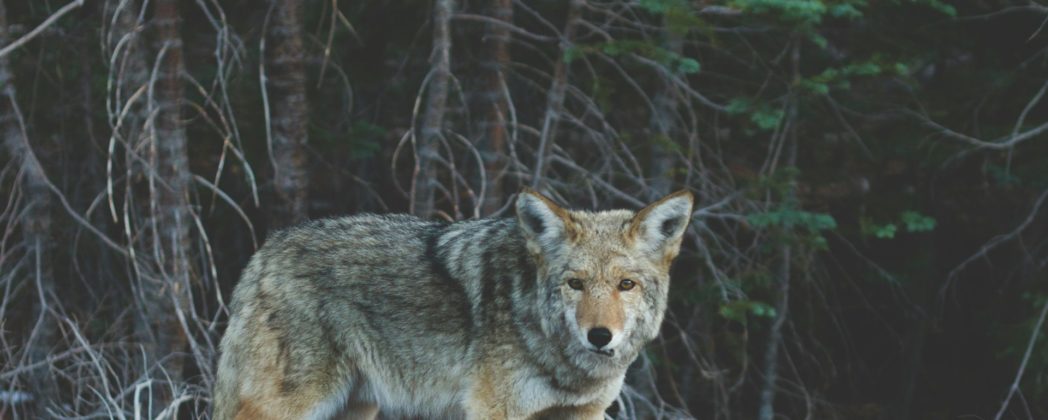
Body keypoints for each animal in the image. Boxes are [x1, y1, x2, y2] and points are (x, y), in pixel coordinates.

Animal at [213, 189, 694, 419]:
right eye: (575, 284)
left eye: (626, 285)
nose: (599, 336)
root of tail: (264, 252)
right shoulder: (494, 411)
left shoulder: (583, 414)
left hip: (354, 407)